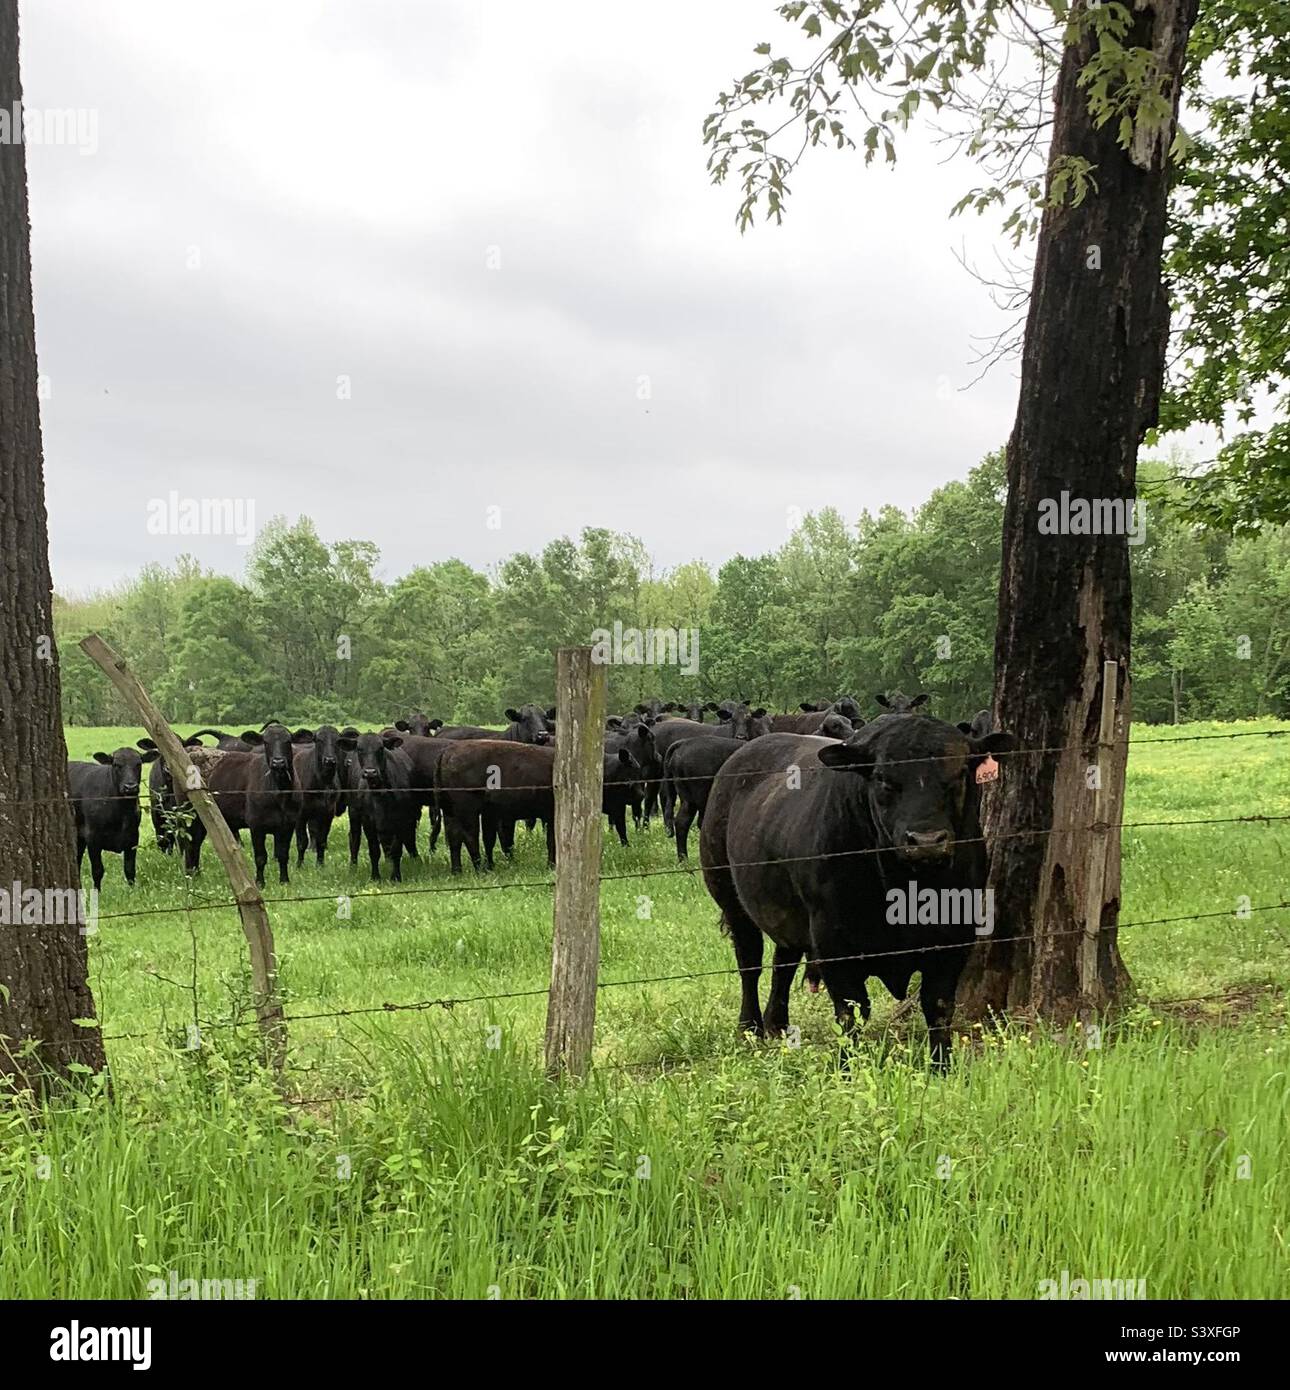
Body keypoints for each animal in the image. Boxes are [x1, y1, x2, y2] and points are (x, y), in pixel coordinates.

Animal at [68, 750, 159, 889]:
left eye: (138, 764)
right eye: (116, 765)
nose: (130, 787)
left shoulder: (133, 837)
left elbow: (129, 869)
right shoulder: (92, 838)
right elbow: (97, 870)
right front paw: (97, 891)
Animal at [180, 722, 315, 884]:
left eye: (288, 741)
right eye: (266, 742)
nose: (278, 762)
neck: (279, 794)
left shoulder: (288, 825)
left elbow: (283, 855)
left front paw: (284, 881)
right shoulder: (256, 825)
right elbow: (261, 857)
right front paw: (260, 883)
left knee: (195, 843)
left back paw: (195, 874)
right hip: (189, 814)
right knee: (190, 843)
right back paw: (190, 875)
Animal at [337, 728, 417, 878]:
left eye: (380, 748)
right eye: (359, 749)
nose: (370, 772)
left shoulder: (401, 819)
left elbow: (396, 849)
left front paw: (395, 876)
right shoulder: (368, 821)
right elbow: (374, 850)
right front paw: (375, 877)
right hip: (354, 812)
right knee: (354, 838)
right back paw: (353, 868)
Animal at [700, 717, 1011, 1073]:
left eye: (959, 773)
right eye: (883, 779)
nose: (926, 841)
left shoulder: (955, 935)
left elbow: (939, 1005)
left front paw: (941, 1066)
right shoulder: (832, 940)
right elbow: (850, 1010)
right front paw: (848, 1067)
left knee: (784, 960)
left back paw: (777, 1024)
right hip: (729, 896)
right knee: (749, 961)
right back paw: (749, 1027)